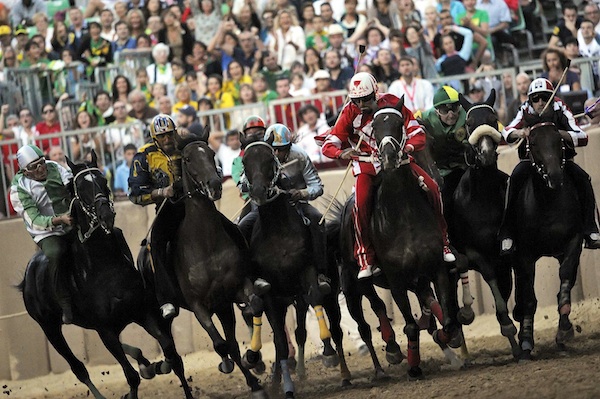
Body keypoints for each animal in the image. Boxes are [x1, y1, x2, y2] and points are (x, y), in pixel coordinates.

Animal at [18, 152, 192, 399]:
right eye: (81, 187)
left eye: (103, 181)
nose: (105, 215)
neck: (105, 269)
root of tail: (28, 275)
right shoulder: (106, 330)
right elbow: (131, 376)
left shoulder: (143, 313)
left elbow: (172, 355)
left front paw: (158, 367)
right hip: (49, 327)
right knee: (78, 369)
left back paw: (145, 361)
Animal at [243, 140, 338, 396]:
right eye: (245, 162)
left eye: (269, 160)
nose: (258, 192)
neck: (278, 233)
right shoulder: (271, 294)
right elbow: (279, 341)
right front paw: (281, 383)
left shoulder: (306, 272)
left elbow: (315, 296)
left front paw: (329, 352)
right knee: (278, 338)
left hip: (298, 297)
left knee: (301, 331)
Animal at [450, 91, 520, 360]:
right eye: (469, 123)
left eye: (493, 119)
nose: (487, 153)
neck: (483, 199)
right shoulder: (475, 252)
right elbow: (490, 278)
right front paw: (507, 325)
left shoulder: (505, 255)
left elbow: (507, 288)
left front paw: (517, 345)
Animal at [508, 121, 584, 360]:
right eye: (532, 143)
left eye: (558, 140)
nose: (555, 176)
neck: (548, 203)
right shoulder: (525, 255)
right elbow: (529, 298)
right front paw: (525, 341)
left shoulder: (573, 242)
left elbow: (565, 278)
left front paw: (564, 329)